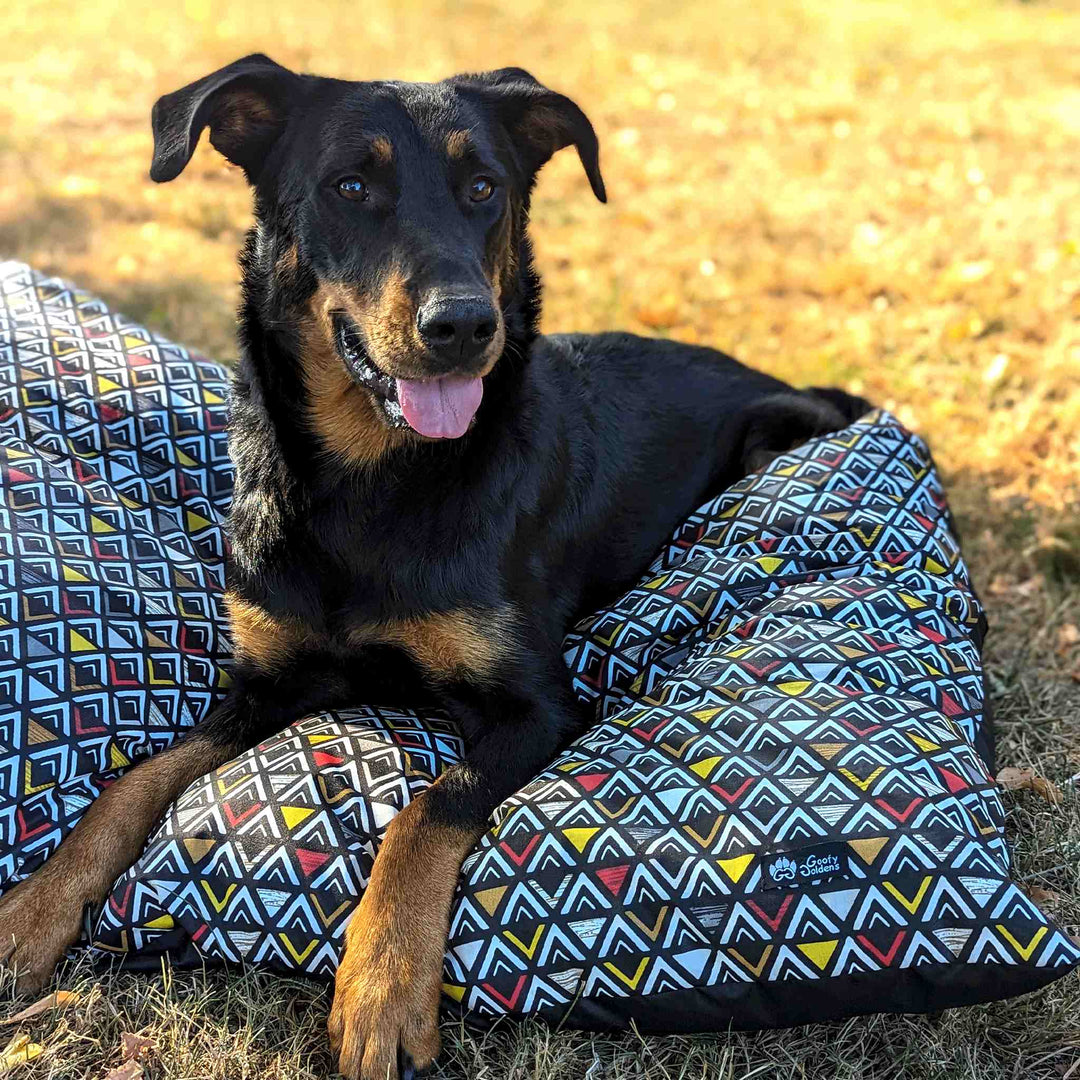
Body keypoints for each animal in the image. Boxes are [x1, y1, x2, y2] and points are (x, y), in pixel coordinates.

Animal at [0, 56, 868, 1080]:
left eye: (485, 188)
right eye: (351, 187)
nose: (464, 326)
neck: (370, 481)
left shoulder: (539, 707)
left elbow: (426, 810)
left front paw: (380, 989)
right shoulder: (263, 683)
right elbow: (133, 783)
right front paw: (31, 914)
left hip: (778, 429)